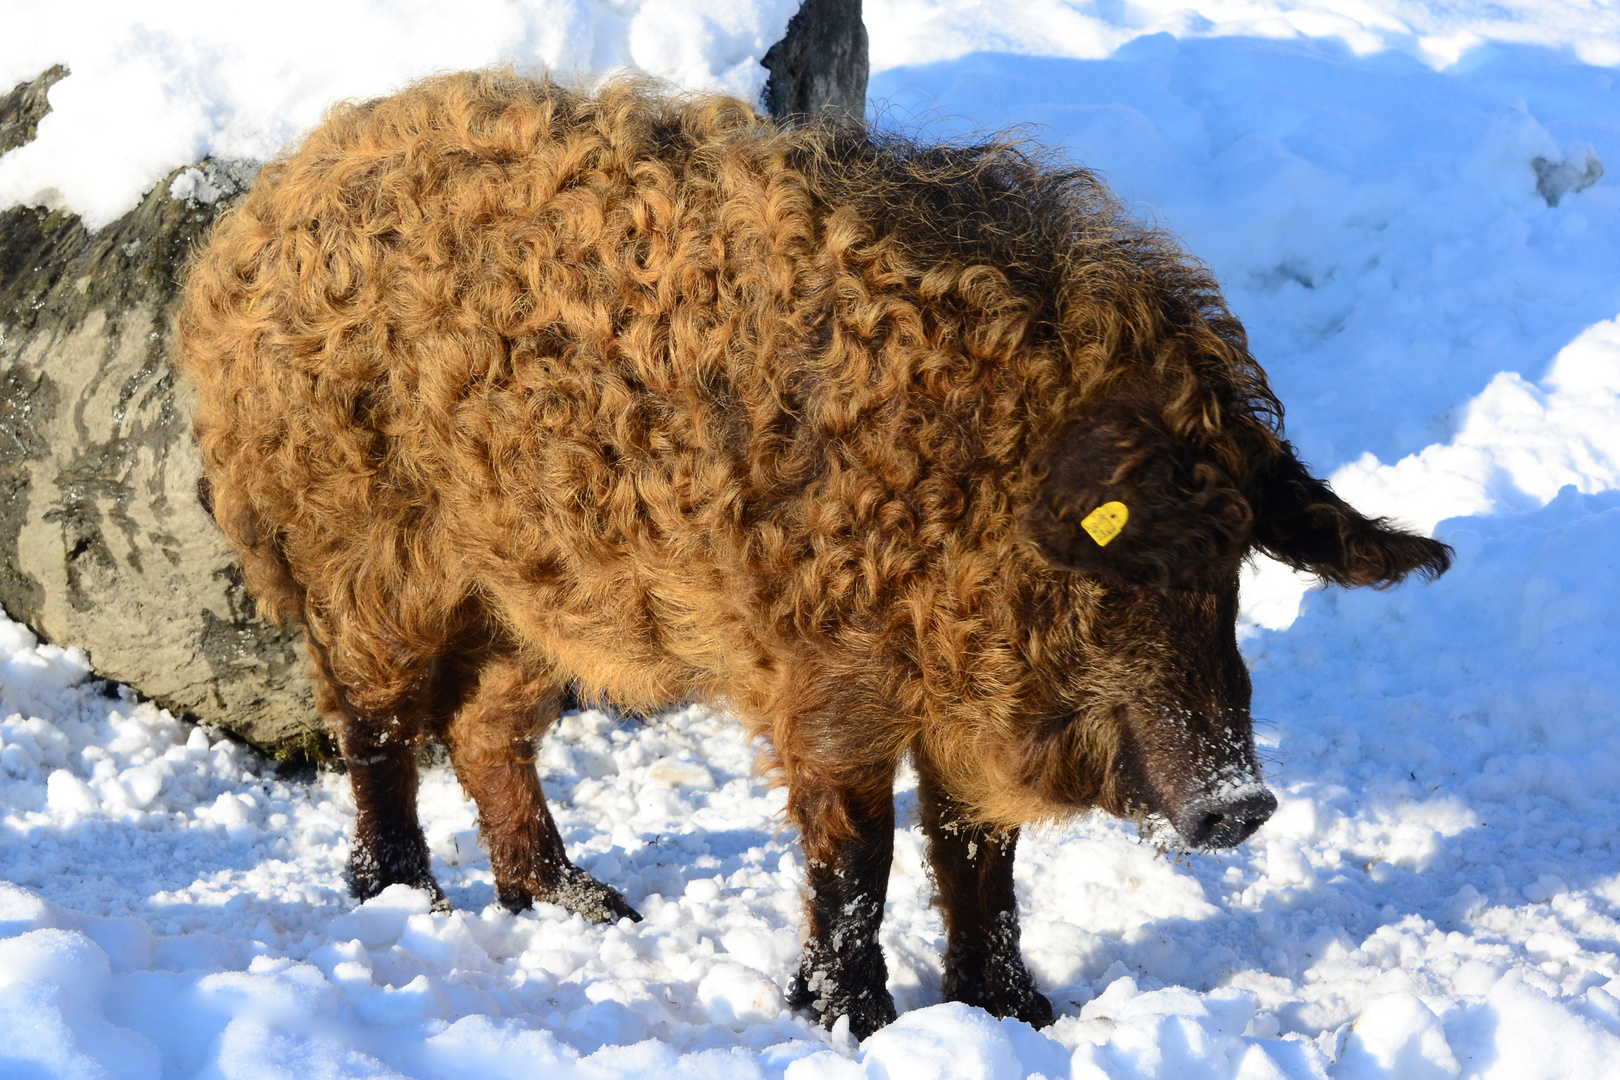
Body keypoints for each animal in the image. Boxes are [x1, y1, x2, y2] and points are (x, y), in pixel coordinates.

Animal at [180, 71, 1458, 1036]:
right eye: (1115, 566)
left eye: (1235, 566)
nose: (1243, 801)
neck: (960, 492)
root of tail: (260, 212)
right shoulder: (831, 672)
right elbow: (860, 852)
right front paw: (854, 1025)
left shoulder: (958, 703)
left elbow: (975, 853)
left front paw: (1017, 1016)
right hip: (362, 550)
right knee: (377, 725)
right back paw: (406, 905)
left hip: (543, 599)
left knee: (485, 730)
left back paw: (590, 907)